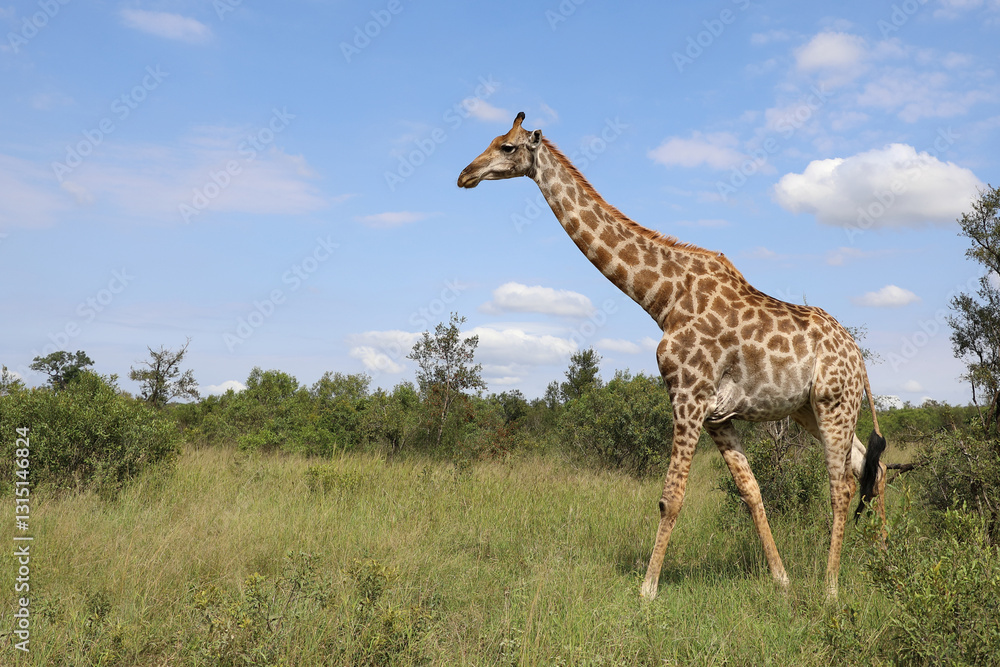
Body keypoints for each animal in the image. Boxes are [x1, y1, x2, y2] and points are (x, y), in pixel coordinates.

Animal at [458, 112, 888, 600]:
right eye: (493, 139)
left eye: (508, 147)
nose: (465, 175)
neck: (662, 300)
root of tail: (858, 357)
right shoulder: (718, 414)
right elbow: (751, 491)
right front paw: (781, 579)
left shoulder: (688, 396)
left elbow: (671, 497)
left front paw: (647, 589)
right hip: (809, 410)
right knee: (871, 466)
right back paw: (884, 559)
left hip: (835, 403)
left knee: (842, 484)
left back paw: (832, 587)